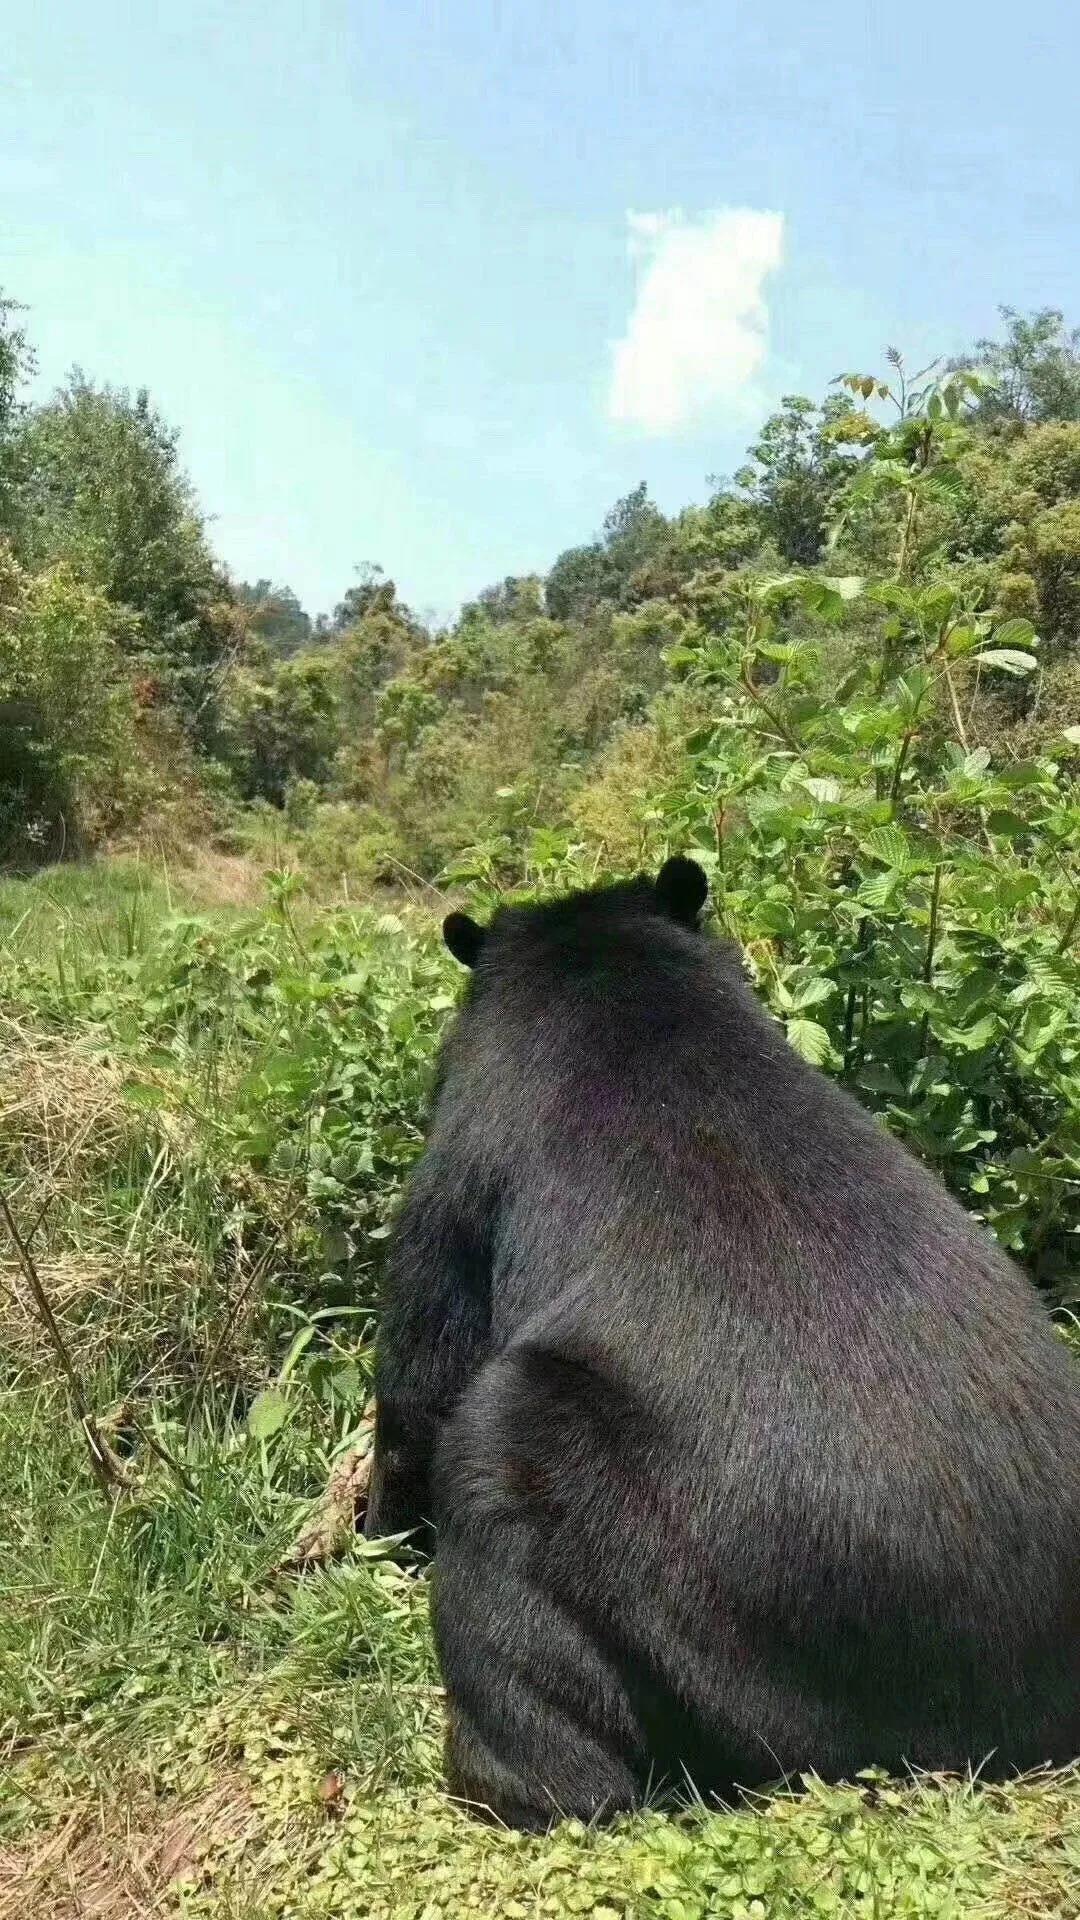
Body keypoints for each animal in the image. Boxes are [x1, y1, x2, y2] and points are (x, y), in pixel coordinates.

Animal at [364, 856, 1080, 1830]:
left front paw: (374, 1542)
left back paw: (507, 1781)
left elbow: (421, 1364)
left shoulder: (465, 1167)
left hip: (684, 1587)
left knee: (498, 1501)